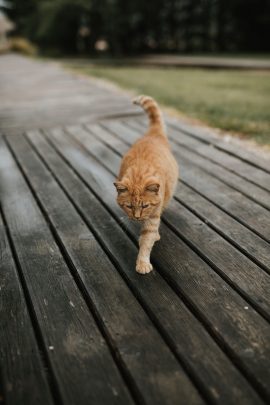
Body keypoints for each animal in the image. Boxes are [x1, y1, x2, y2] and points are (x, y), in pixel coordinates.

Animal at [114, 94, 179, 274]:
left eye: (144, 206)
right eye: (129, 206)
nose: (137, 217)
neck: (139, 175)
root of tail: (153, 134)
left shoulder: (153, 217)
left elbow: (146, 240)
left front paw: (142, 262)